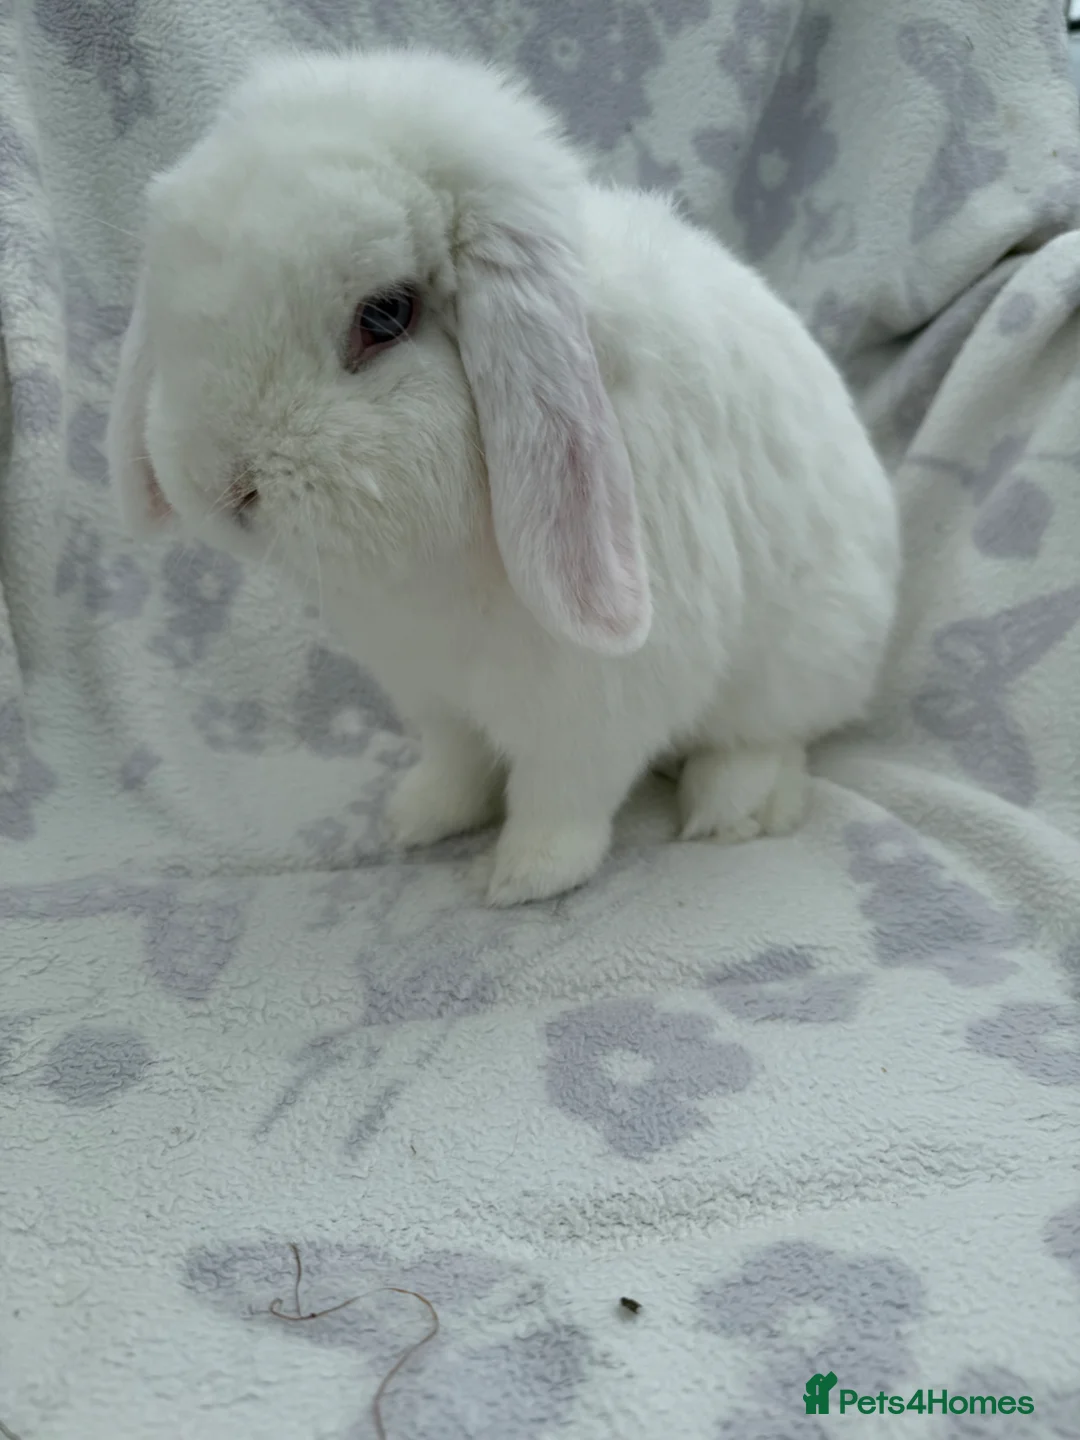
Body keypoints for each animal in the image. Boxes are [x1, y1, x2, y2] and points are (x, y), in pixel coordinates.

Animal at [107, 47, 901, 906]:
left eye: (383, 316)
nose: (225, 490)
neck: (430, 573)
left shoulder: (596, 707)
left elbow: (563, 797)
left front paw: (524, 877)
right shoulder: (432, 693)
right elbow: (457, 762)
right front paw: (416, 818)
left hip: (800, 660)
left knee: (771, 738)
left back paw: (734, 807)